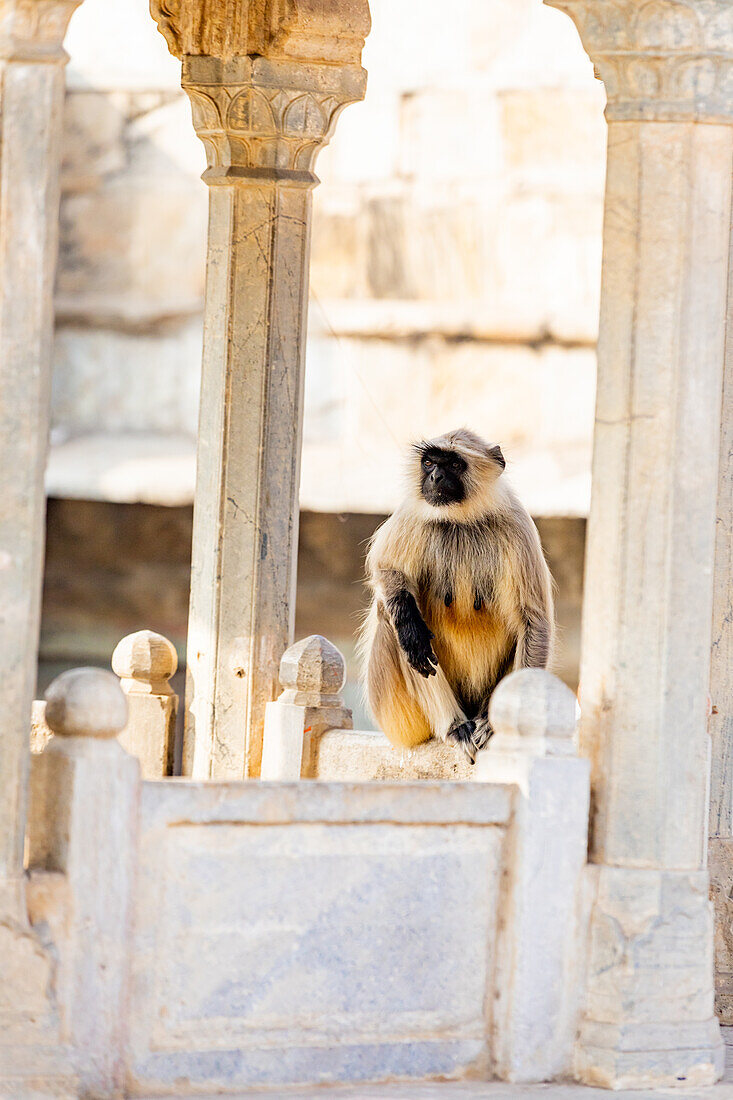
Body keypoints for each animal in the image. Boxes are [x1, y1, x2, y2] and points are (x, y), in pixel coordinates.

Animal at [356, 424, 550, 761]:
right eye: (429, 462)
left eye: (455, 464)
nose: (435, 477)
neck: (460, 520)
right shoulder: (411, 509)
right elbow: (386, 569)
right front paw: (411, 631)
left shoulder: (517, 524)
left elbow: (533, 622)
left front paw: (499, 727)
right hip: (398, 720)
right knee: (388, 611)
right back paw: (455, 726)